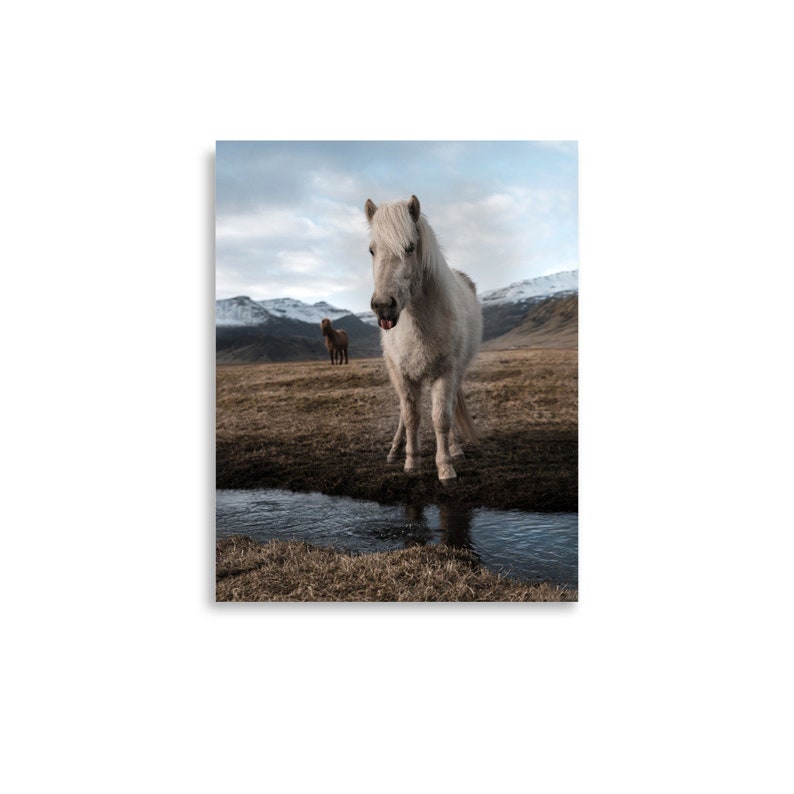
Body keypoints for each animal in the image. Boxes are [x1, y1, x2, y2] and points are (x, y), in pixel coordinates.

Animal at [365, 194, 482, 482]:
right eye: (372, 250)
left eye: (409, 247)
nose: (383, 306)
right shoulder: (402, 374)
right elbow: (411, 417)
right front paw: (411, 460)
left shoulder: (447, 373)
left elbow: (441, 418)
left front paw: (445, 467)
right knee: (404, 412)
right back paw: (395, 450)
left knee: (449, 407)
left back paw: (455, 449)